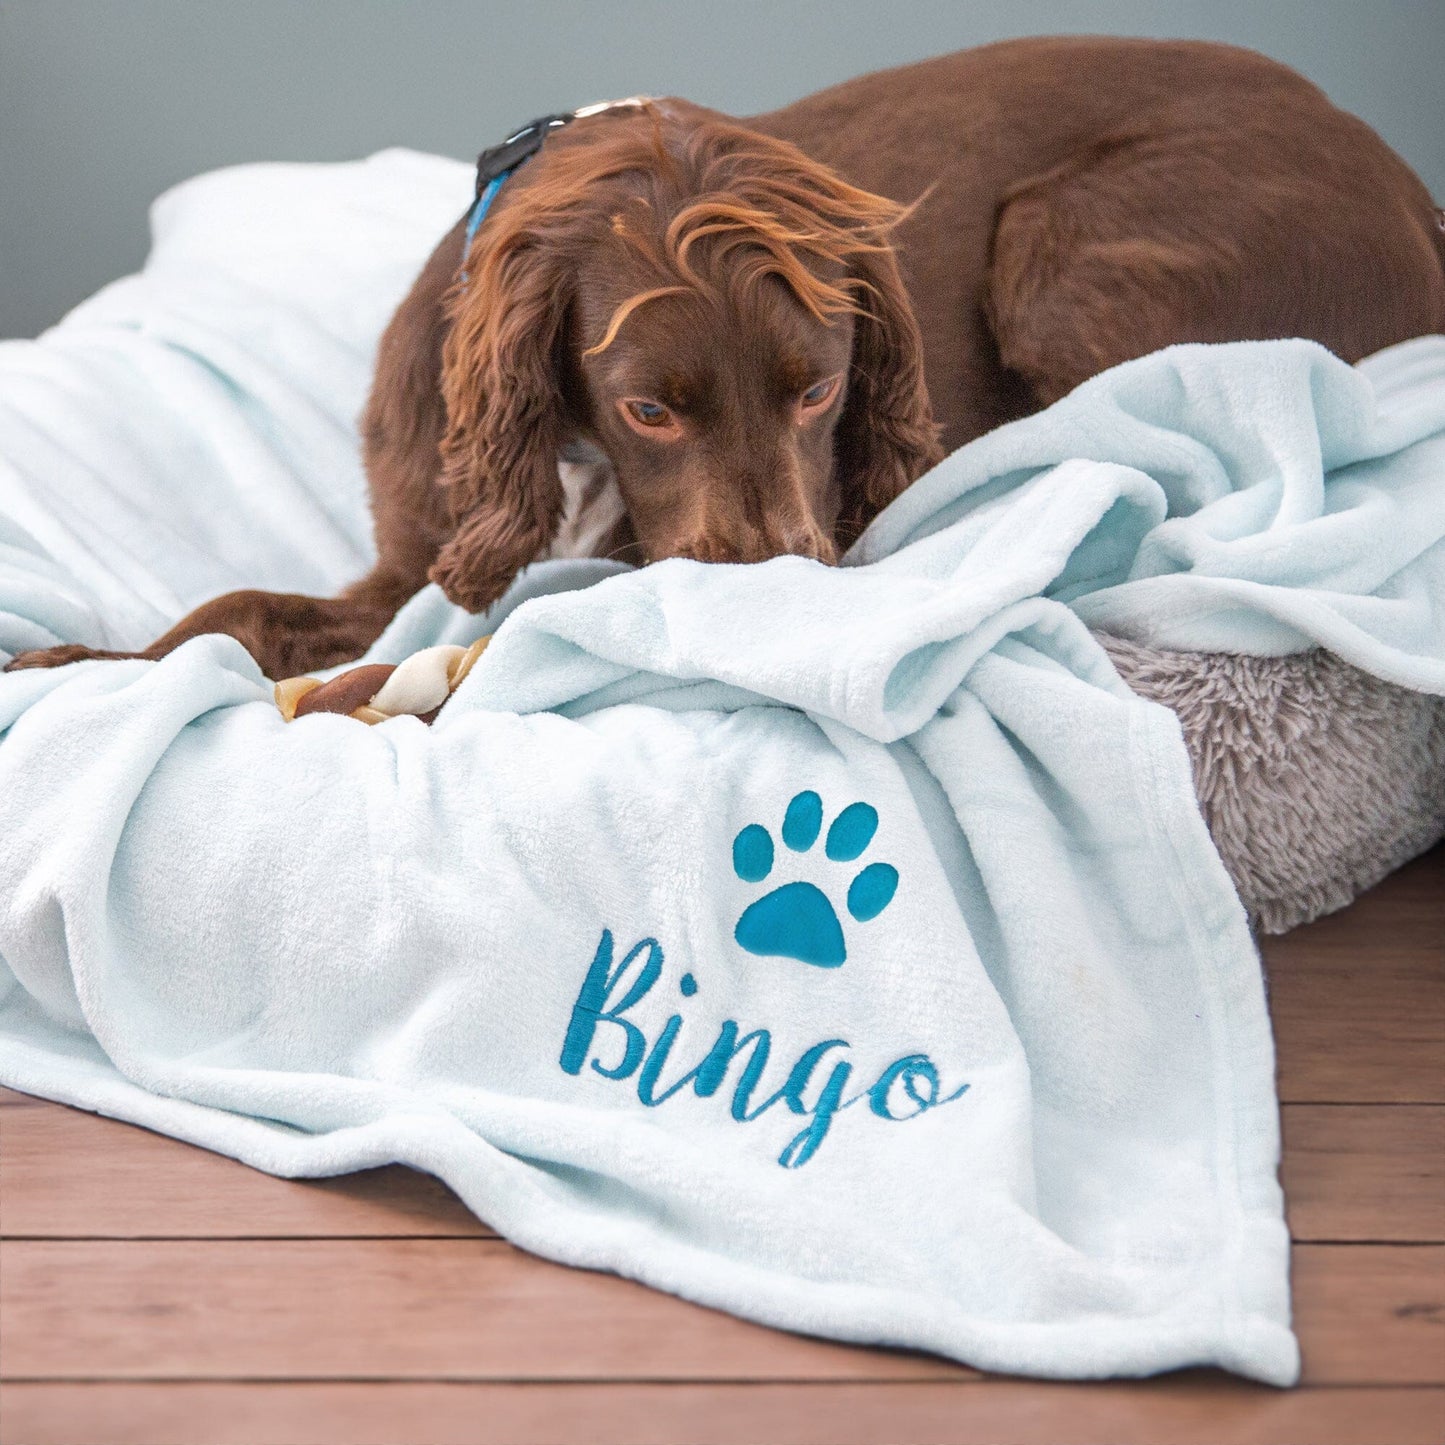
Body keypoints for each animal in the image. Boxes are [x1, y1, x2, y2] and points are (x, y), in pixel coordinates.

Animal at [8, 36, 1433, 679]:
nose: (774, 590)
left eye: (822, 390)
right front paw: (79, 667)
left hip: (1061, 252)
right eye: (647, 409)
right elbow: (234, 611)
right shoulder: (415, 557)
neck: (572, 455)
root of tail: (1409, 188)